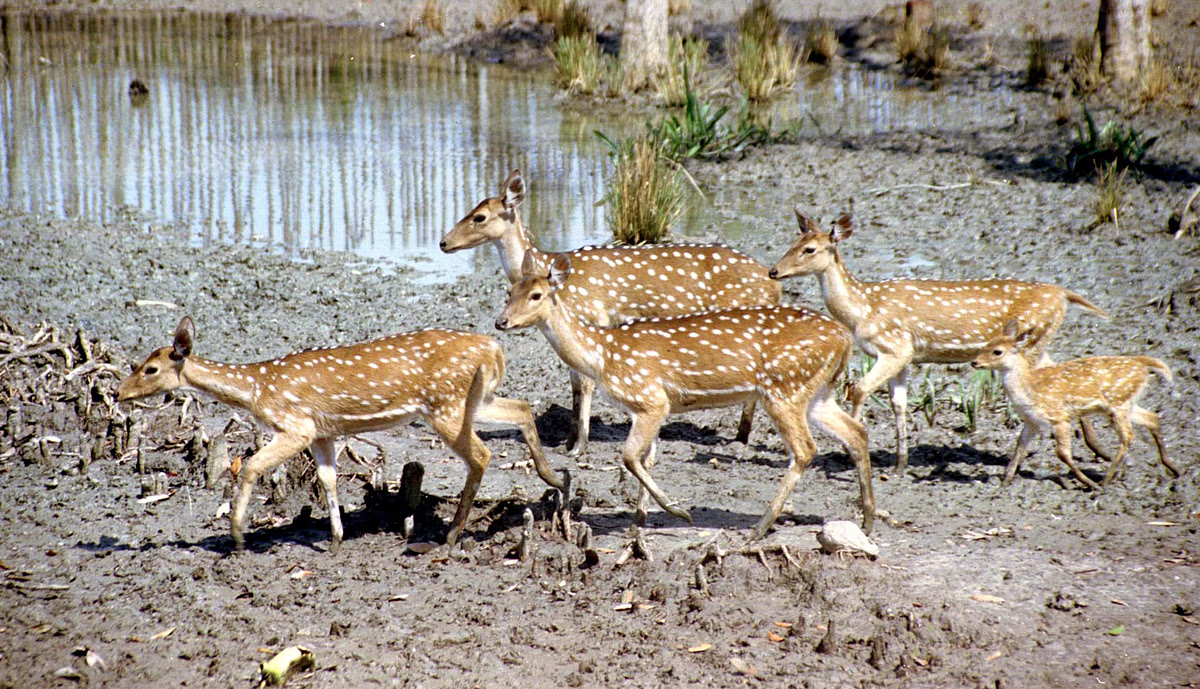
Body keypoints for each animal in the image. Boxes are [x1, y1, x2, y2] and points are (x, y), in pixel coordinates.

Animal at [117, 316, 561, 552]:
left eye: (150, 368)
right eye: (138, 363)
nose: (120, 392)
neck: (257, 390)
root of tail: (494, 348)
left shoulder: (296, 425)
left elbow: (251, 467)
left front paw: (239, 536)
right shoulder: (322, 433)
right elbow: (328, 479)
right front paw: (334, 539)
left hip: (445, 405)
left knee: (481, 455)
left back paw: (451, 534)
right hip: (476, 399)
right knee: (521, 408)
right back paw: (554, 479)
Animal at [441, 169, 777, 456]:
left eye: (479, 216)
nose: (444, 242)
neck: (546, 262)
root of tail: (773, 283)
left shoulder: (591, 316)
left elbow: (586, 383)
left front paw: (580, 446)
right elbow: (575, 385)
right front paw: (567, 441)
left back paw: (740, 438)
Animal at [492, 250, 878, 542]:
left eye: (536, 295)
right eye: (509, 291)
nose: (501, 321)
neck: (603, 356)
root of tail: (844, 338)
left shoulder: (651, 398)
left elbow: (629, 456)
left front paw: (678, 511)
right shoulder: (646, 408)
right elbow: (645, 460)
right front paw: (638, 523)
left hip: (784, 388)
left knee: (805, 449)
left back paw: (760, 526)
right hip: (817, 393)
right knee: (856, 432)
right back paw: (868, 519)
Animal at [768, 212, 1104, 475]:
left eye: (809, 249)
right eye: (792, 243)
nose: (773, 270)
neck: (863, 309)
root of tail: (1063, 294)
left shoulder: (895, 347)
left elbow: (859, 389)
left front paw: (849, 452)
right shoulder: (903, 357)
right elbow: (899, 404)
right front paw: (900, 464)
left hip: (1031, 341)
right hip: (1036, 344)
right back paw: (1097, 448)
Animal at [969, 321, 1176, 492]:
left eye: (997, 351)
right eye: (985, 344)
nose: (974, 362)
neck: (1030, 389)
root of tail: (1142, 364)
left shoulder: (1059, 416)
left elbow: (1062, 453)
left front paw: (1088, 483)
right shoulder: (1031, 421)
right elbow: (1020, 447)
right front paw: (1005, 482)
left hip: (1118, 404)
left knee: (1128, 436)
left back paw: (1105, 482)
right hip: (1126, 404)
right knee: (1152, 418)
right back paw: (1173, 469)